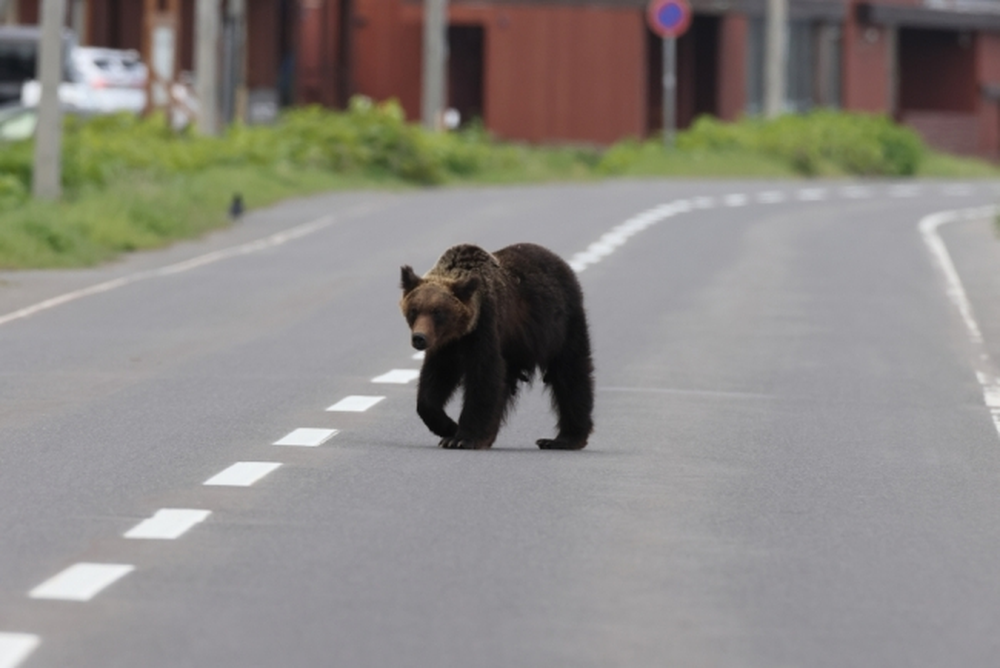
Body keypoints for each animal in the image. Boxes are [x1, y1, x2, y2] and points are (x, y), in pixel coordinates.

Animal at [399, 243, 594, 450]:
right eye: (414, 310)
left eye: (438, 312)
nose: (419, 338)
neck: (461, 332)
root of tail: (559, 261)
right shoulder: (446, 346)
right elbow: (435, 380)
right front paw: (448, 427)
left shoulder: (486, 327)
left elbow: (484, 377)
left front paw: (462, 437)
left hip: (561, 326)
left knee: (571, 374)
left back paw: (563, 439)